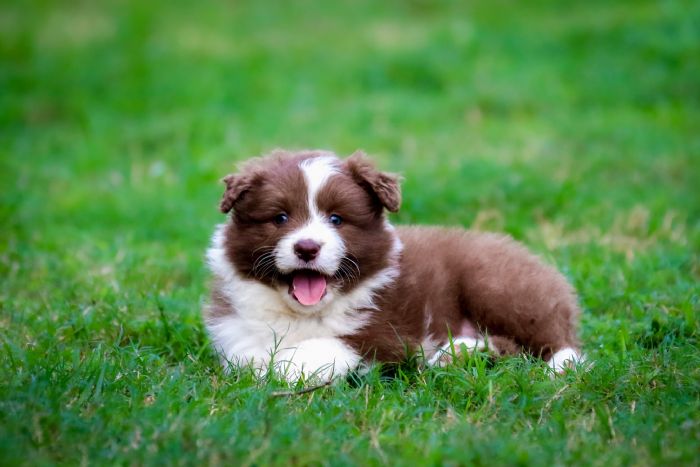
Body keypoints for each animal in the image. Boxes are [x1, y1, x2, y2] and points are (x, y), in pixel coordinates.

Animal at [205, 149, 584, 380]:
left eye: (336, 219)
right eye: (280, 217)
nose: (307, 247)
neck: (304, 314)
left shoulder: (383, 334)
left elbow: (318, 348)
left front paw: (281, 370)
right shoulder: (235, 328)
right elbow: (249, 353)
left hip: (500, 286)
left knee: (559, 342)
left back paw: (558, 370)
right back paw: (457, 353)